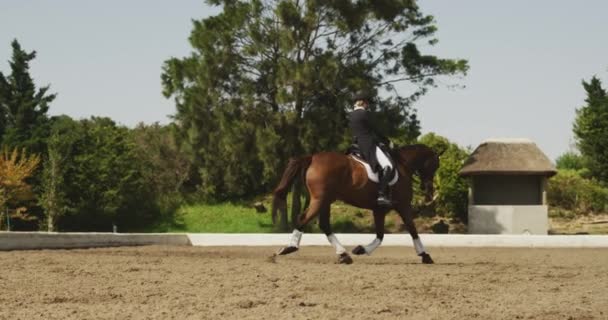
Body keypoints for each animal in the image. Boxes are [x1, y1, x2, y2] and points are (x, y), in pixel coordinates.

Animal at [270, 144, 436, 264]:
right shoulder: (403, 205)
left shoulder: (379, 210)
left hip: (325, 201)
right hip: (320, 199)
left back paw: (343, 255)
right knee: (303, 218)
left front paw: (361, 249)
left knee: (324, 224)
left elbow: (380, 235)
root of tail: (313, 157)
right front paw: (425, 255)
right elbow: (412, 230)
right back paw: (289, 248)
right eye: (434, 166)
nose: (428, 190)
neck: (402, 166)